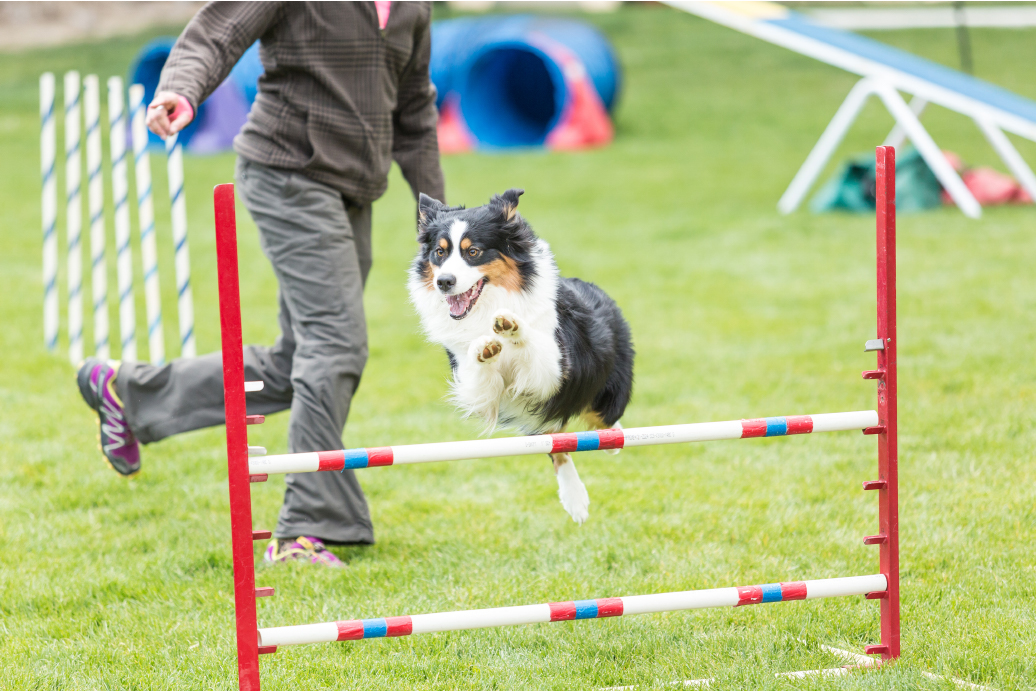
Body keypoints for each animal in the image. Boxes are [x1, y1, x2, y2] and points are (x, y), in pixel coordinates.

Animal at [408, 189, 634, 524]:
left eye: (473, 252)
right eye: (439, 252)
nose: (444, 282)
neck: (488, 305)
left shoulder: (556, 370)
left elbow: (533, 344)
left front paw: (511, 326)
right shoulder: (476, 387)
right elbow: (478, 370)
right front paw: (484, 347)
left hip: (603, 391)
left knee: (603, 422)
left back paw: (610, 445)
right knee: (557, 443)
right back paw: (575, 500)